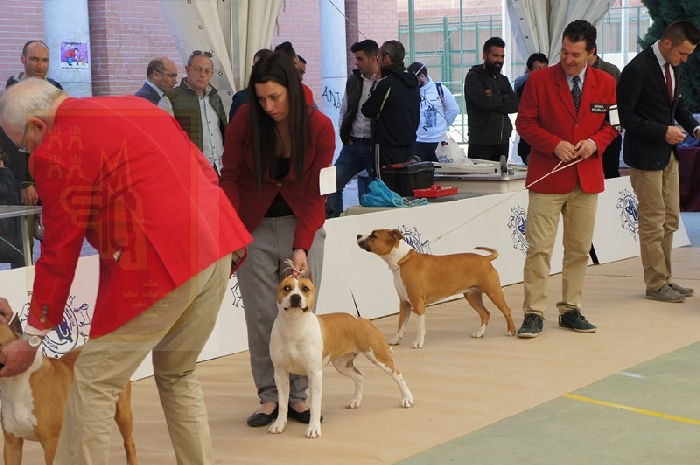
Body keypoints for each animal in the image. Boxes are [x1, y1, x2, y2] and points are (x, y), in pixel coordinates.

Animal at [269, 275, 413, 439]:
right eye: (287, 288)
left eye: (305, 288)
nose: (295, 297)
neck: (293, 327)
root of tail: (362, 319)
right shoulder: (280, 374)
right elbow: (282, 403)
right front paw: (279, 424)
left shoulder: (314, 374)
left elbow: (315, 405)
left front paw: (314, 428)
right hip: (342, 365)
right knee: (360, 376)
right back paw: (356, 400)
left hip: (379, 355)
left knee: (397, 374)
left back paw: (407, 398)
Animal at [357, 228, 516, 348]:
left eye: (373, 235)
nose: (358, 235)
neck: (402, 261)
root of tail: (485, 259)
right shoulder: (404, 304)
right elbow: (401, 325)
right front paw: (396, 340)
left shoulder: (417, 304)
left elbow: (420, 327)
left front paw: (418, 342)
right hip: (472, 296)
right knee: (485, 314)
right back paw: (480, 333)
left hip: (493, 292)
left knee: (506, 310)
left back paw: (511, 331)